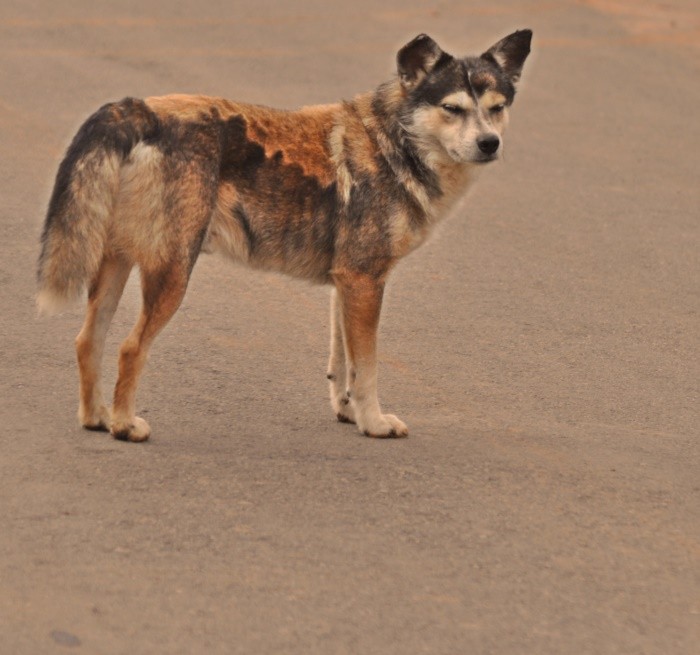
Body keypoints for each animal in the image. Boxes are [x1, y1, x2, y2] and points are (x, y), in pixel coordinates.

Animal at [37, 29, 532, 440]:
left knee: (88, 342)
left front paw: (349, 413)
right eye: (453, 109)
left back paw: (97, 418)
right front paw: (374, 424)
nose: (490, 144)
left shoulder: (346, 286)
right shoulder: (364, 283)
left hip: (117, 266)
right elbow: (368, 369)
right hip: (172, 276)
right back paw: (123, 425)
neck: (393, 144)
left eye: (497, 108)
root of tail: (138, 108)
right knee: (129, 348)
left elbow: (343, 366)